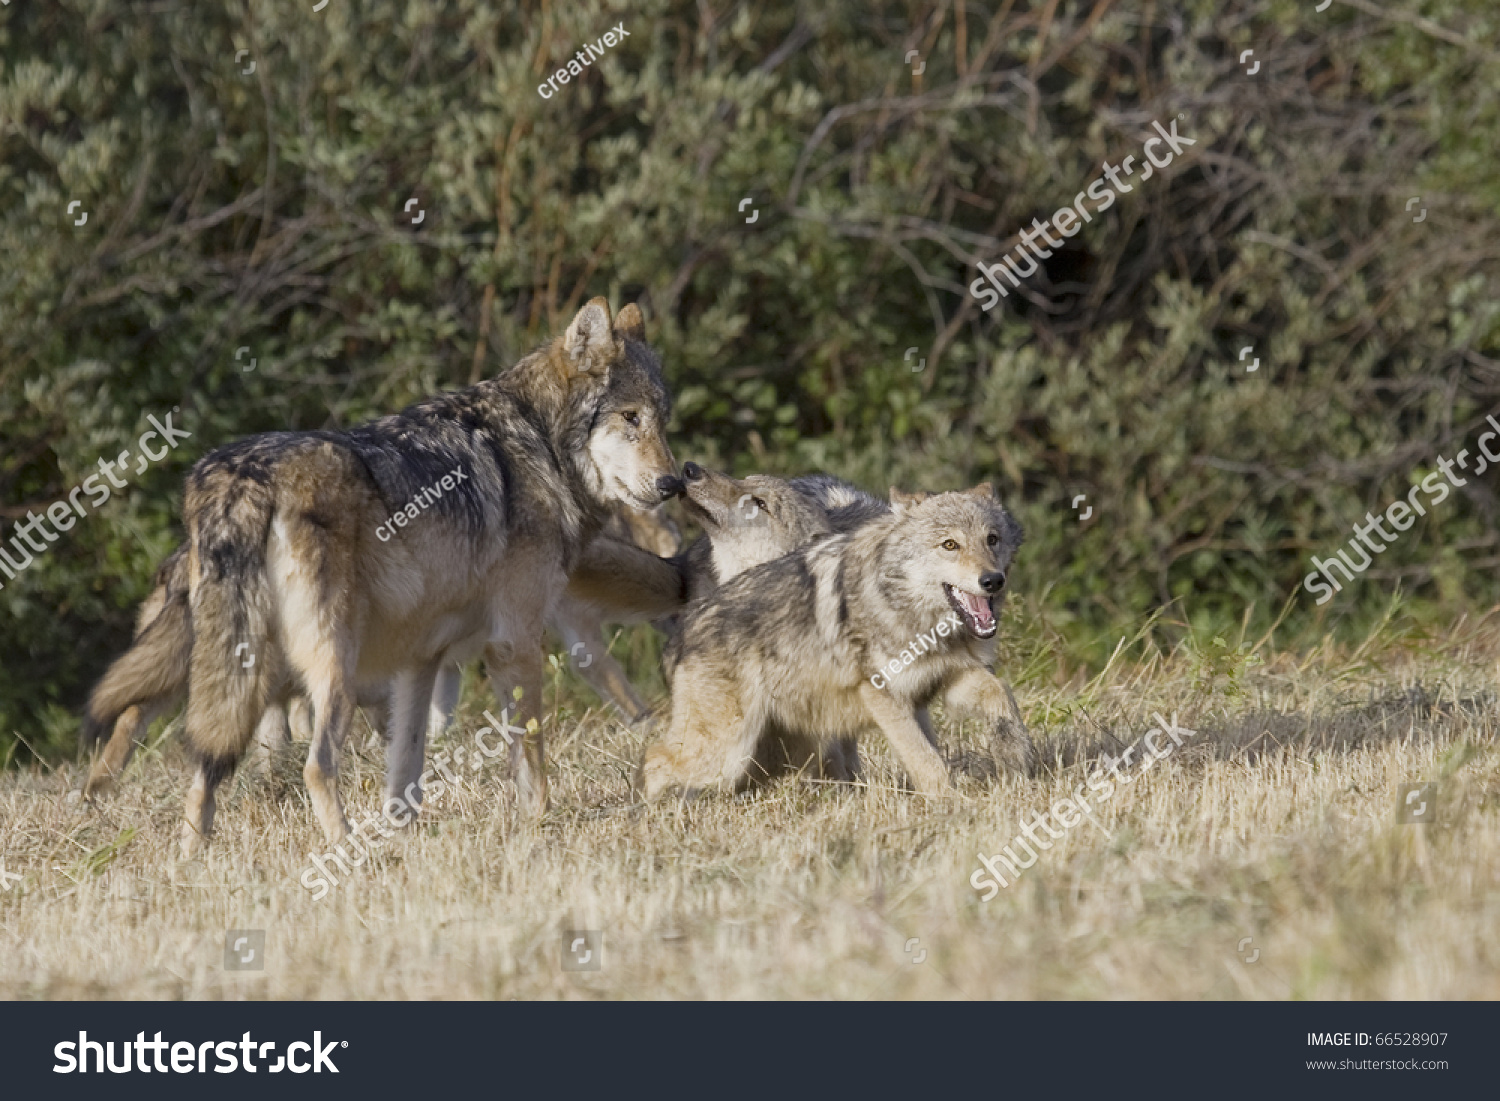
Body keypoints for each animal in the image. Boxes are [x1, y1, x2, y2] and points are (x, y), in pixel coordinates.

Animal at [171, 300, 681, 852]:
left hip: (250, 675)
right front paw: (536, 827)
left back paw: (193, 859)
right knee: (316, 766)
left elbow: (406, 770)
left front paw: (405, 837)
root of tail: (242, 478)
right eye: (630, 417)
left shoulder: (421, 660)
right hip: (332, 670)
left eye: (662, 421)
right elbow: (532, 758)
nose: (673, 483)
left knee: (202, 771)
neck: (538, 445)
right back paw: (348, 850)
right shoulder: (514, 642)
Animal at [639, 483, 1038, 804]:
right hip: (726, 753)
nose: (992, 580)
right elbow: (925, 760)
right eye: (950, 545)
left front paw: (1016, 759)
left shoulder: (951, 679)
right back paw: (654, 814)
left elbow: (1002, 697)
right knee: (654, 760)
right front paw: (951, 805)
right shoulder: (882, 695)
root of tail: (684, 629)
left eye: (992, 539)